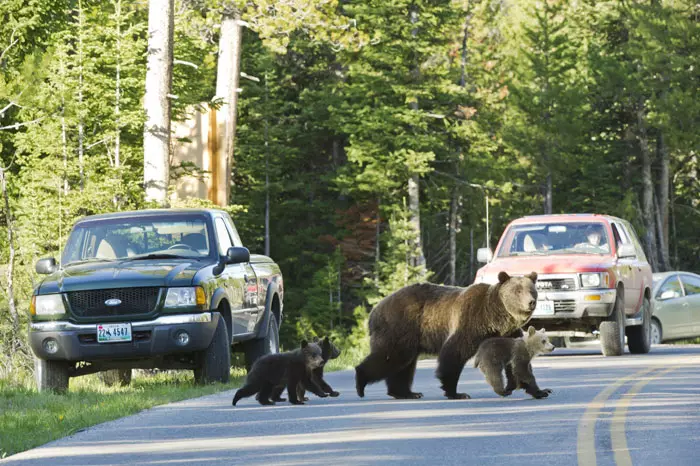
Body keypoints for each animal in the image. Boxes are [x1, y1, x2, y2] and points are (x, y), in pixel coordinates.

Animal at [352, 272, 540, 398]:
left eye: (532, 290)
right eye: (517, 291)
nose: (531, 302)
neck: (496, 319)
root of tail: (375, 310)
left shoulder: (510, 334)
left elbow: (520, 362)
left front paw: (538, 391)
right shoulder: (470, 323)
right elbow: (454, 353)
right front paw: (455, 392)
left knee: (404, 364)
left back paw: (406, 393)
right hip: (399, 326)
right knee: (391, 357)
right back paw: (361, 383)